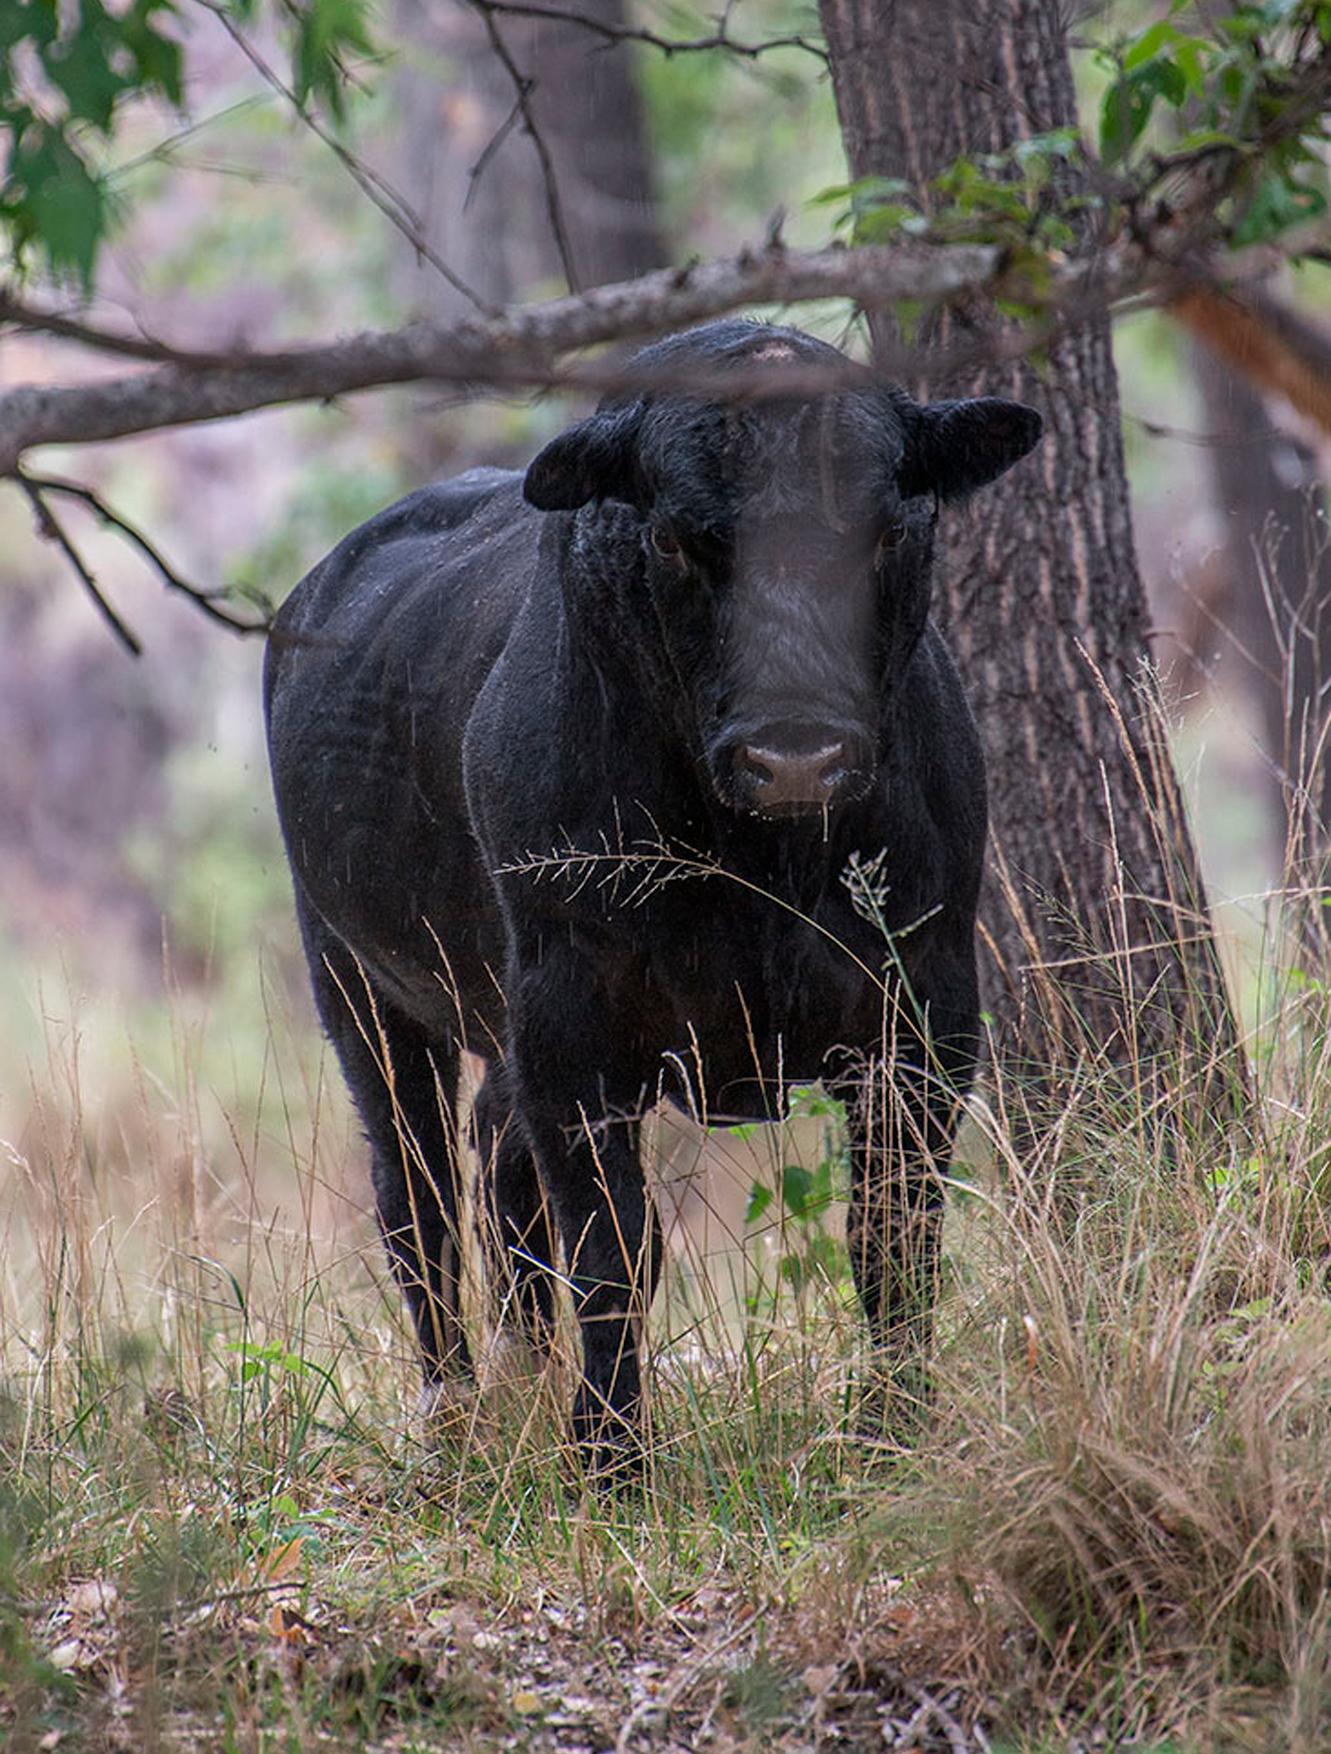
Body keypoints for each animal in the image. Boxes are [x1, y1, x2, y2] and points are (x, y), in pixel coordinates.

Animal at [264, 318, 1043, 1477]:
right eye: (678, 539)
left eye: (886, 532)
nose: (795, 754)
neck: (758, 866)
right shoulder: (572, 1028)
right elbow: (613, 1252)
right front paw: (612, 1460)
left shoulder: (925, 1012)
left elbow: (891, 1239)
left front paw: (893, 1434)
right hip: (359, 984)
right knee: (418, 1197)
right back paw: (456, 1413)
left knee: (495, 1165)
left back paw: (523, 1372)